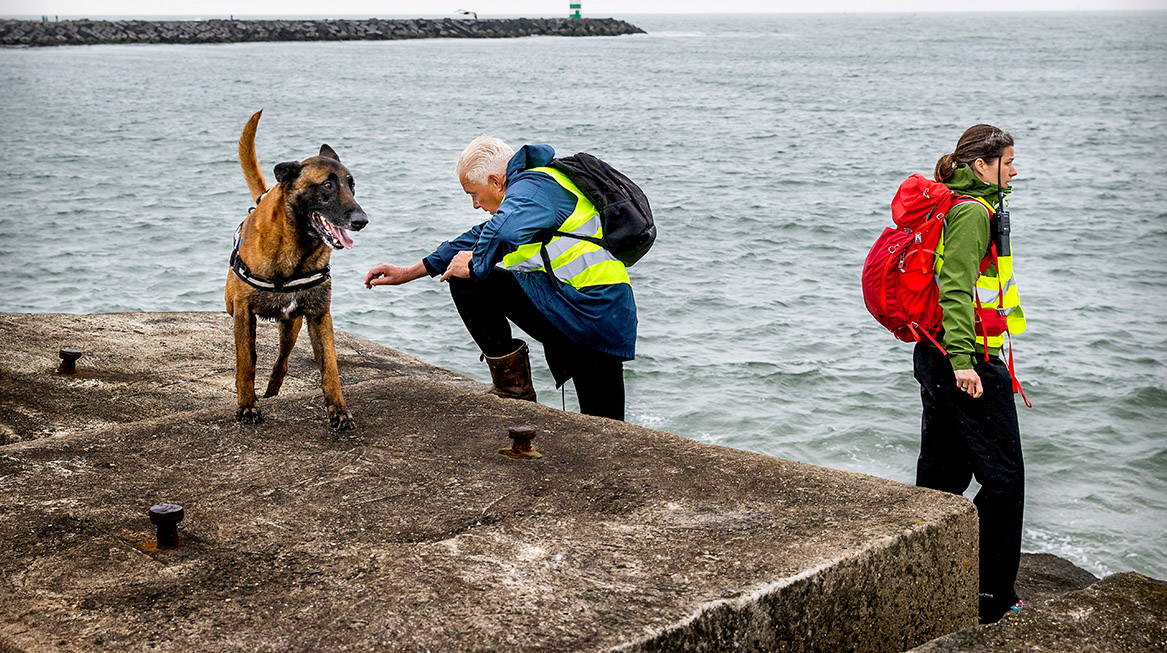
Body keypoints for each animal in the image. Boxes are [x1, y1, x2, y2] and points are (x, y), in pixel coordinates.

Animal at [222, 110, 368, 431]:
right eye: (327, 185)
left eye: (351, 185)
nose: (361, 220)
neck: (296, 249)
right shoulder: (242, 311)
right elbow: (245, 364)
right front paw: (247, 407)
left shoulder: (319, 314)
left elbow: (330, 366)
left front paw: (338, 409)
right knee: (252, 354)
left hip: (292, 326)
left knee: (282, 362)